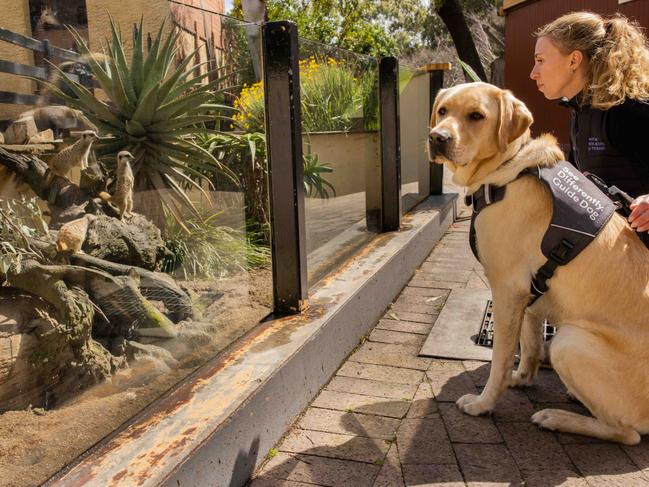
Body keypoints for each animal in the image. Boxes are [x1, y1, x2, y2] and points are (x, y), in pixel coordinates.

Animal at [426, 83, 648, 446]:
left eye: (476, 116)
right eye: (443, 110)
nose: (437, 137)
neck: (508, 171)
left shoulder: (506, 290)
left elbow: (500, 359)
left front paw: (483, 404)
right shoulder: (529, 293)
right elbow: (528, 346)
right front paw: (520, 378)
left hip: (568, 341)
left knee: (627, 434)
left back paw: (556, 417)